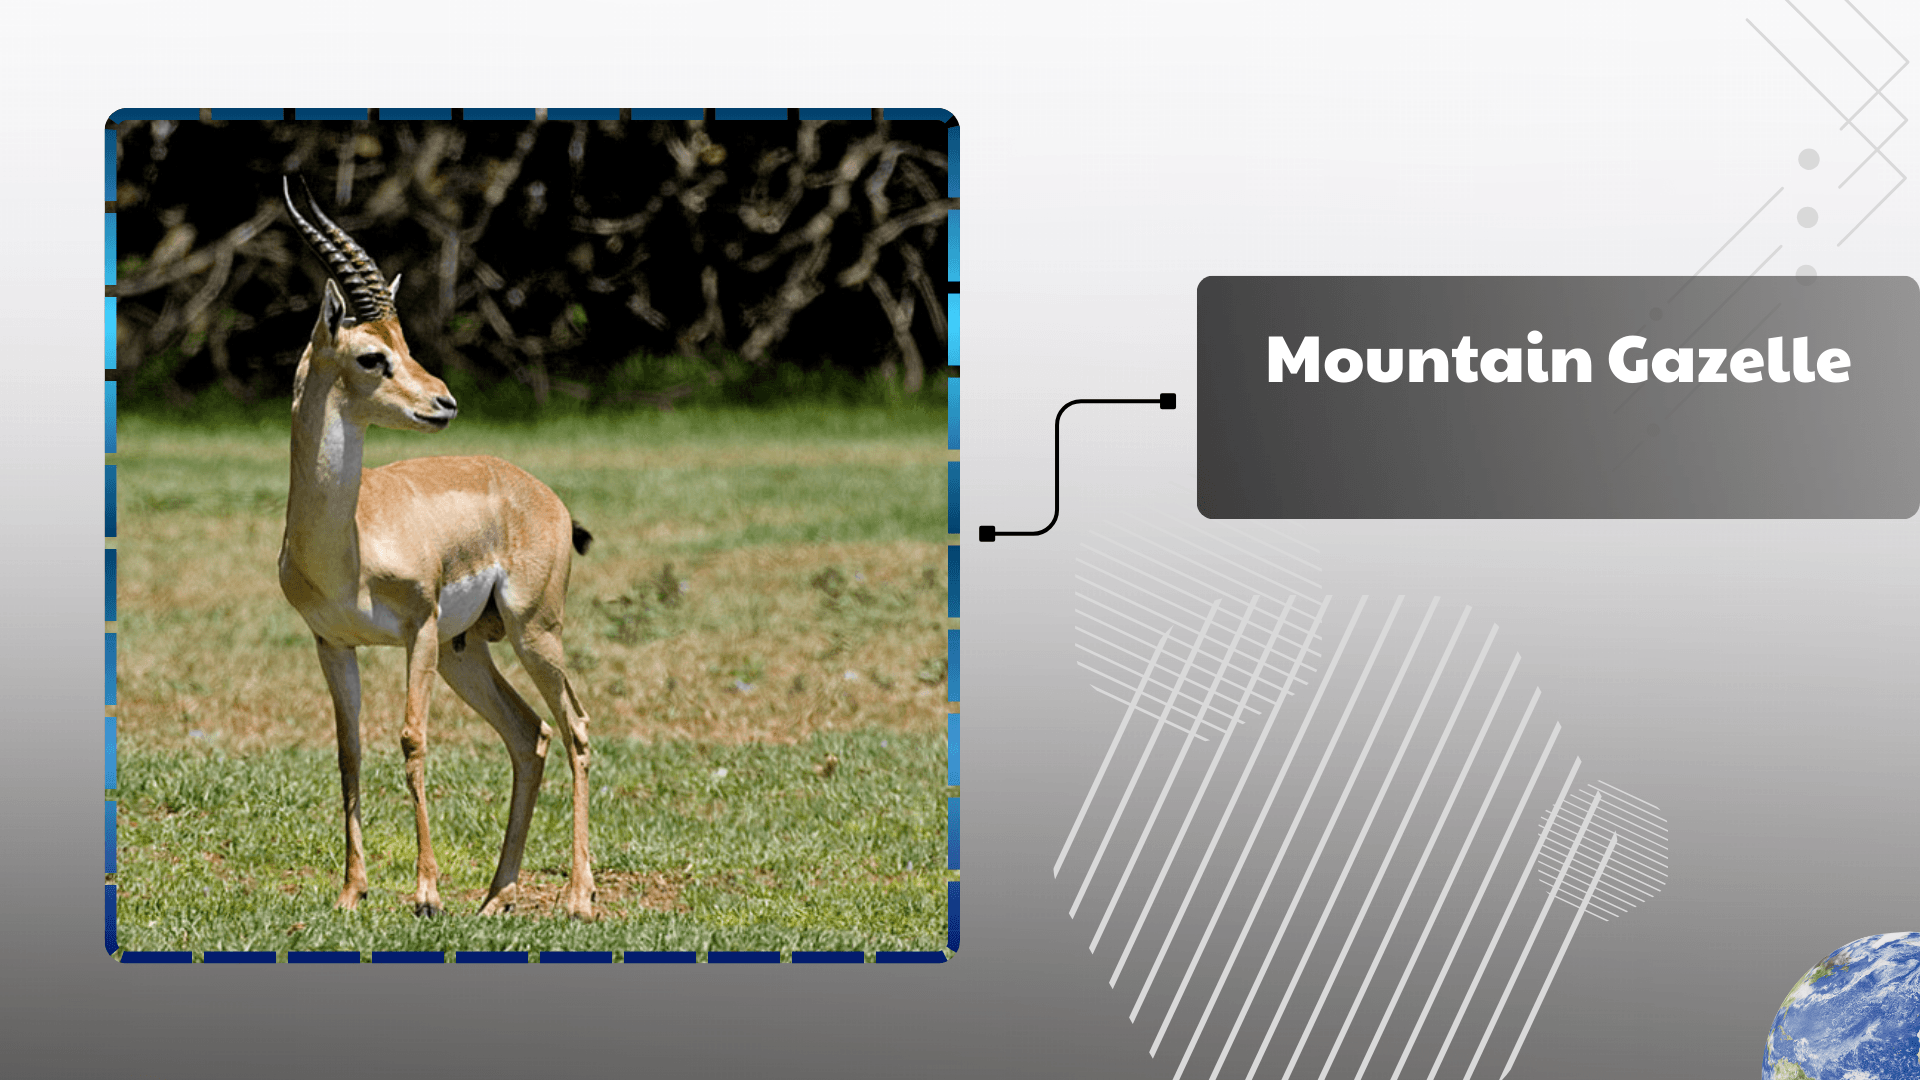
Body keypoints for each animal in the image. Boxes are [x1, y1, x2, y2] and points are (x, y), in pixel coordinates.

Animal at [277, 177, 595, 920]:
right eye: (373, 355)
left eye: (407, 342)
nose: (444, 402)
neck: (348, 545)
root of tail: (538, 491)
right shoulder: (332, 644)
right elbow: (349, 751)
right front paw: (351, 891)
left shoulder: (418, 629)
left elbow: (413, 740)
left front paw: (425, 892)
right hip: (467, 650)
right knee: (529, 734)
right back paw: (497, 897)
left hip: (533, 632)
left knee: (574, 727)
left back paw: (578, 898)